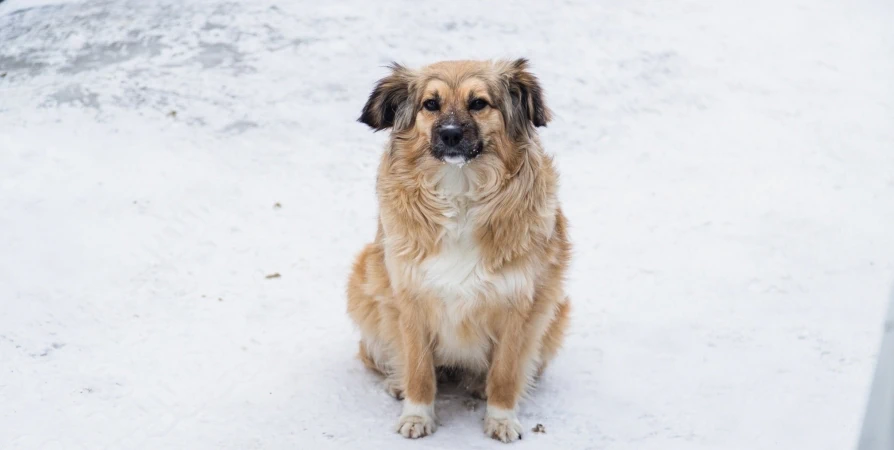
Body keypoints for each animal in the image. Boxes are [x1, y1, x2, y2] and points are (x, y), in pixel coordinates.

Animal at [346, 58, 572, 442]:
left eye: (479, 103)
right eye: (430, 104)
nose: (450, 134)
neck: (461, 187)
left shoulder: (519, 304)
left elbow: (505, 372)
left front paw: (501, 418)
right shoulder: (410, 297)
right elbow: (419, 369)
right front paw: (417, 414)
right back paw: (397, 381)